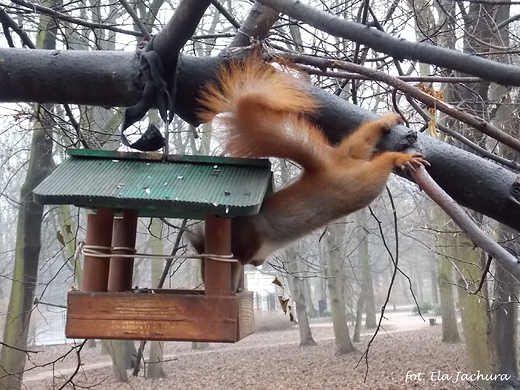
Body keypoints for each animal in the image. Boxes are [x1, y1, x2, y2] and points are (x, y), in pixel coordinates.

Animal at [189, 58, 428, 268]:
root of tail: (328, 165)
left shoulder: (249, 240)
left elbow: (244, 254)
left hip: (362, 185)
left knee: (382, 163)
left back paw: (399, 158)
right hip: (352, 156)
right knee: (363, 139)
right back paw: (385, 121)